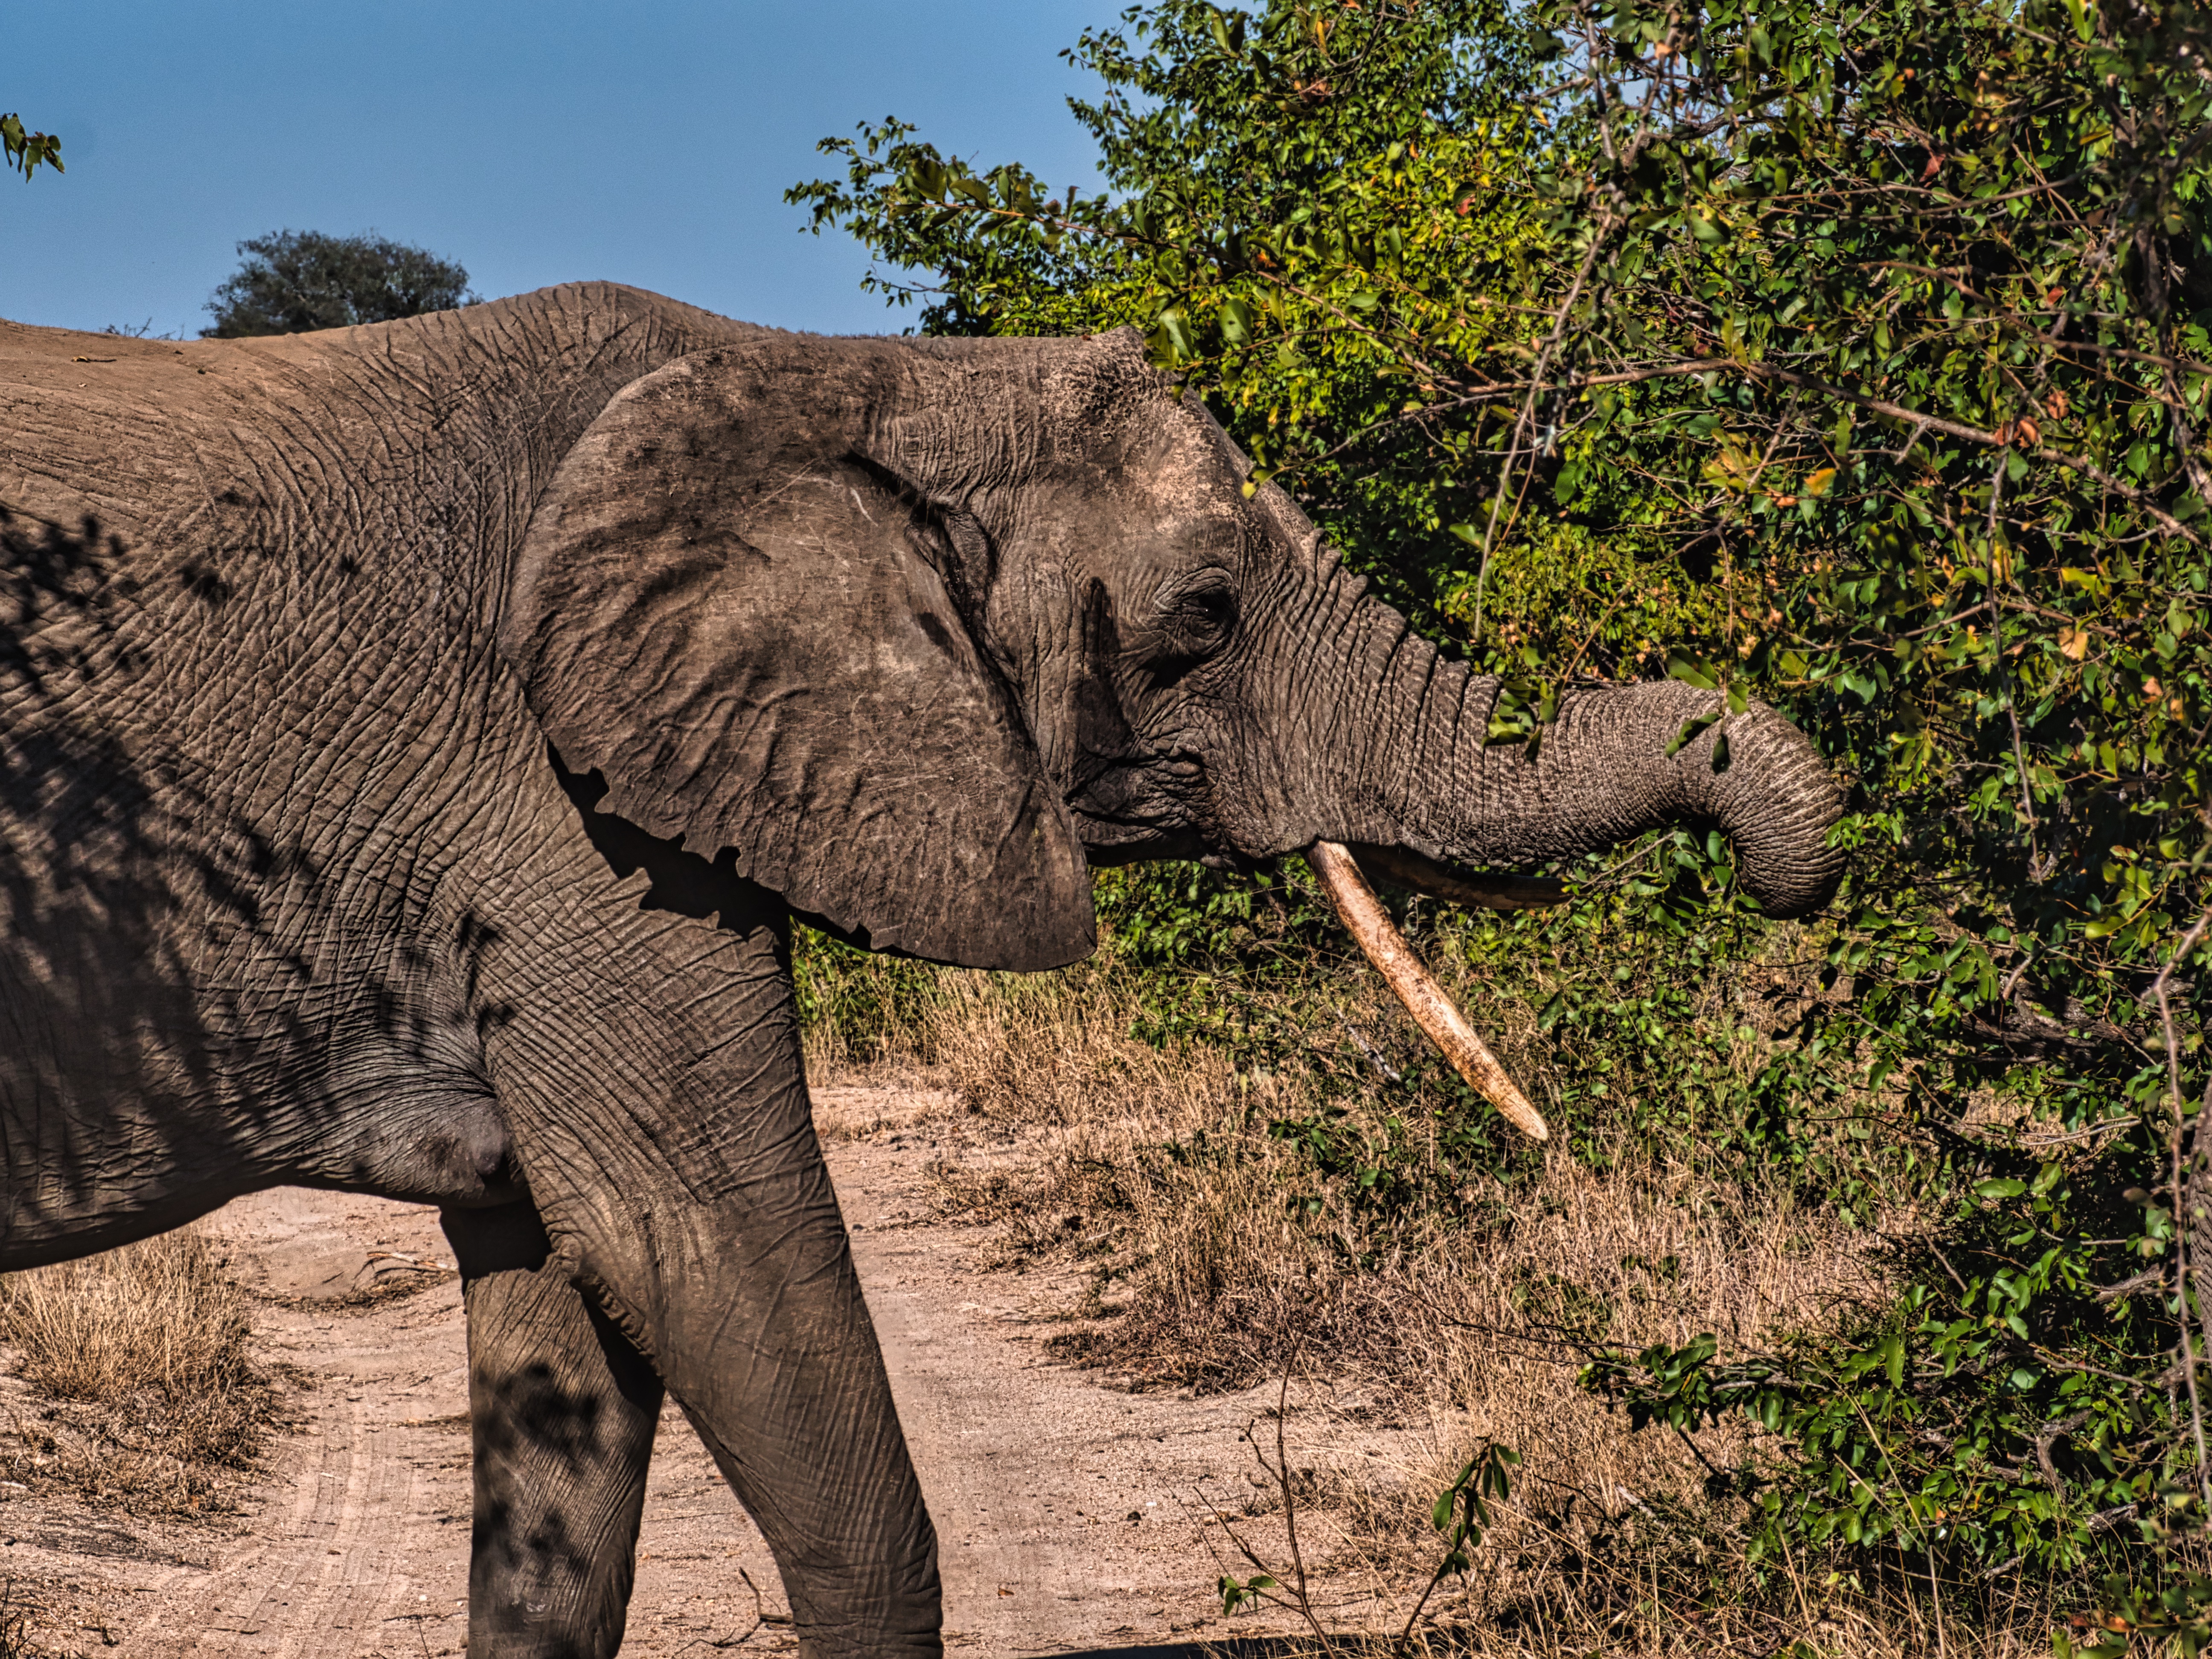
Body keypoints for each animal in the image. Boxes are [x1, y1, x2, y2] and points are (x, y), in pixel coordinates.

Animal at [0, 283, 1842, 1657]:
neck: (850, 375)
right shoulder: (563, 813)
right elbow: (698, 1248)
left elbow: (568, 1338)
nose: (1784, 873)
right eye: (1204, 613)